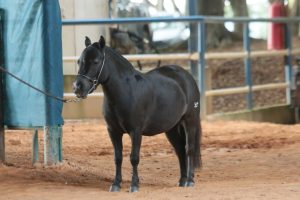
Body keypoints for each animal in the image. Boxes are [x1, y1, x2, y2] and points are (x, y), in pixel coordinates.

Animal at [72, 35, 202, 192]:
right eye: (79, 61)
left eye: (96, 61)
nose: (78, 87)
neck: (126, 91)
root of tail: (186, 76)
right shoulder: (113, 131)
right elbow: (118, 157)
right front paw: (116, 184)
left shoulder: (136, 131)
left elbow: (134, 158)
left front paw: (134, 185)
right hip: (171, 128)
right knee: (180, 151)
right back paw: (182, 181)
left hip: (190, 122)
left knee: (189, 149)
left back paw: (189, 181)